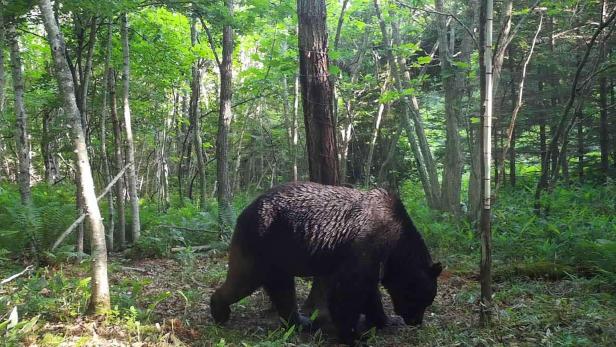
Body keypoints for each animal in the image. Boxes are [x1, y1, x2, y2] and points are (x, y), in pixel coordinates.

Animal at [209, 182, 440, 346]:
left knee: (282, 289)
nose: (415, 321)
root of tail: (244, 211)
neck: (395, 243)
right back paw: (219, 311)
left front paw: (384, 320)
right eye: (422, 299)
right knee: (245, 279)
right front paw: (354, 336)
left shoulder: (372, 259)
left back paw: (301, 321)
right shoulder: (365, 244)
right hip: (262, 241)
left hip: (278, 254)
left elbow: (369, 291)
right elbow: (349, 290)